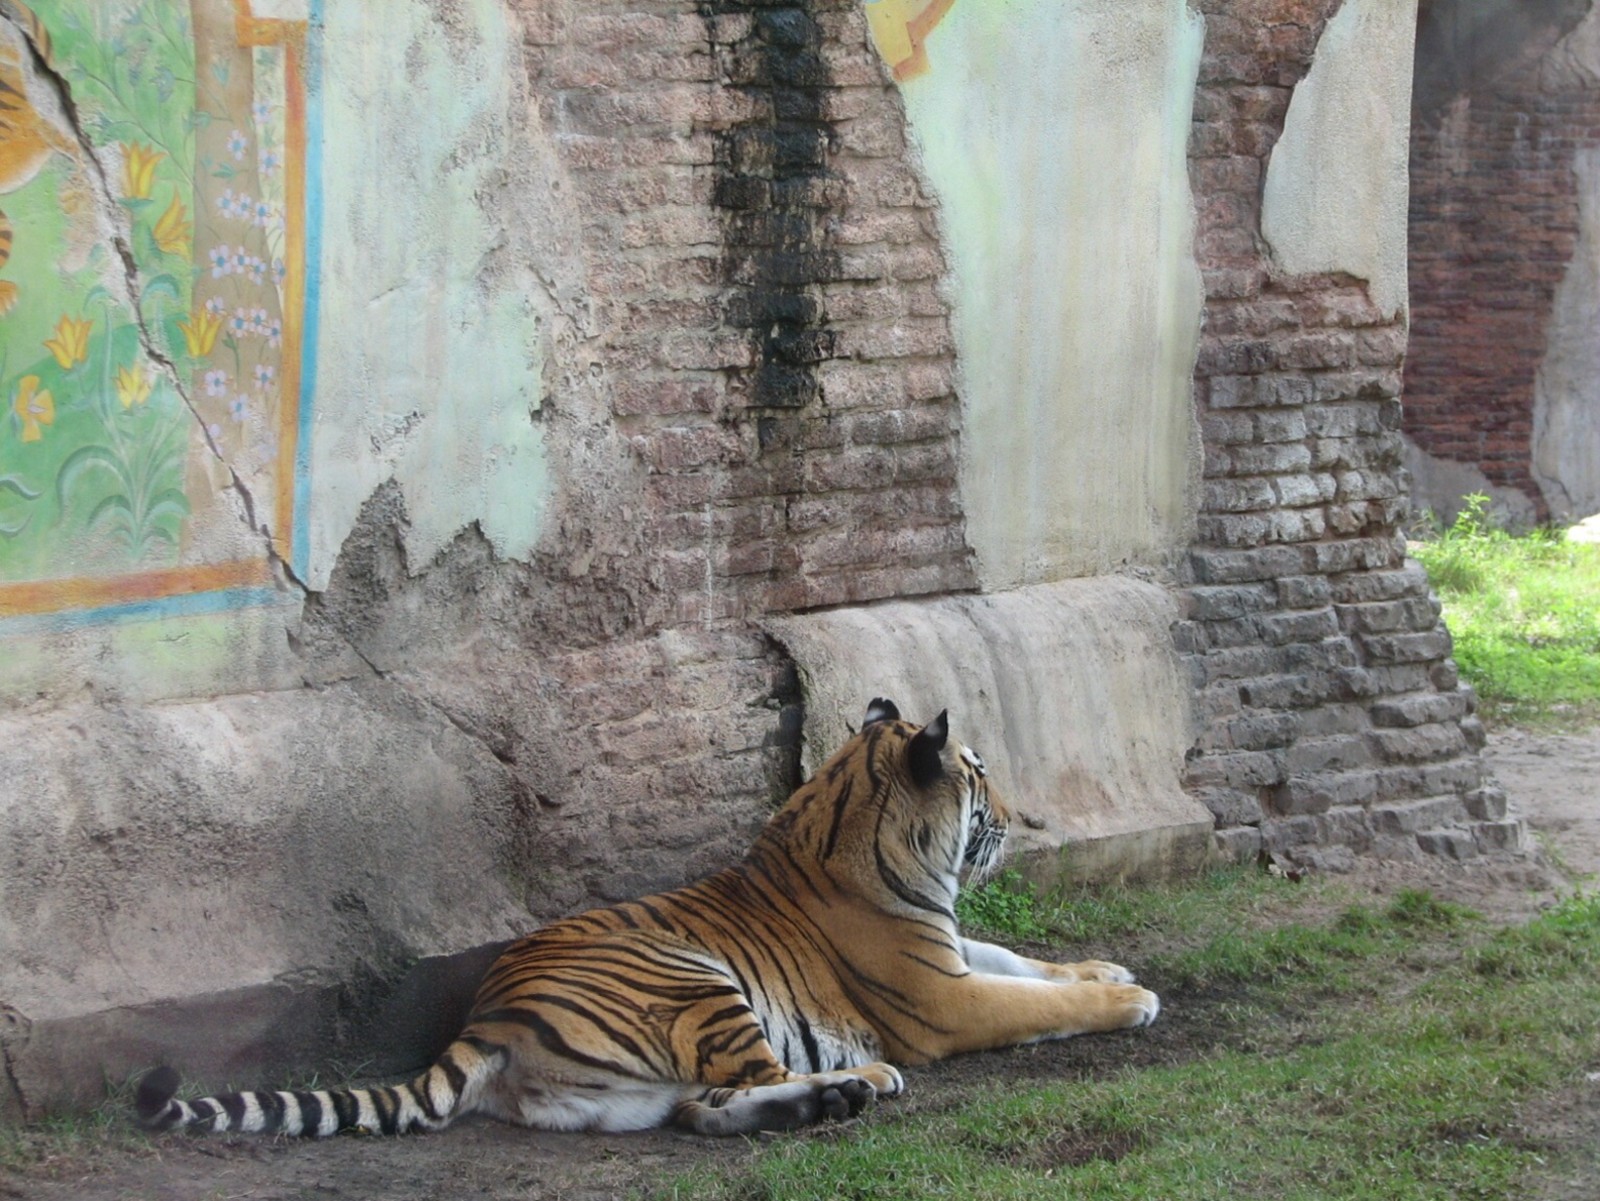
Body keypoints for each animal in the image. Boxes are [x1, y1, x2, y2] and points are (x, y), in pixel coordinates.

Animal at [137, 699, 1160, 1138]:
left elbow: (1024, 962)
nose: (1019, 815)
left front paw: (1105, 968)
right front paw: (1131, 998)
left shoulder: (950, 953)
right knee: (737, 1087)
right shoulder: (941, 997)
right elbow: (1028, 1000)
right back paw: (859, 1081)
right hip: (694, 979)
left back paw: (828, 1097)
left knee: (705, 1109)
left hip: (631, 1081)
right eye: (981, 775)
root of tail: (487, 1017)